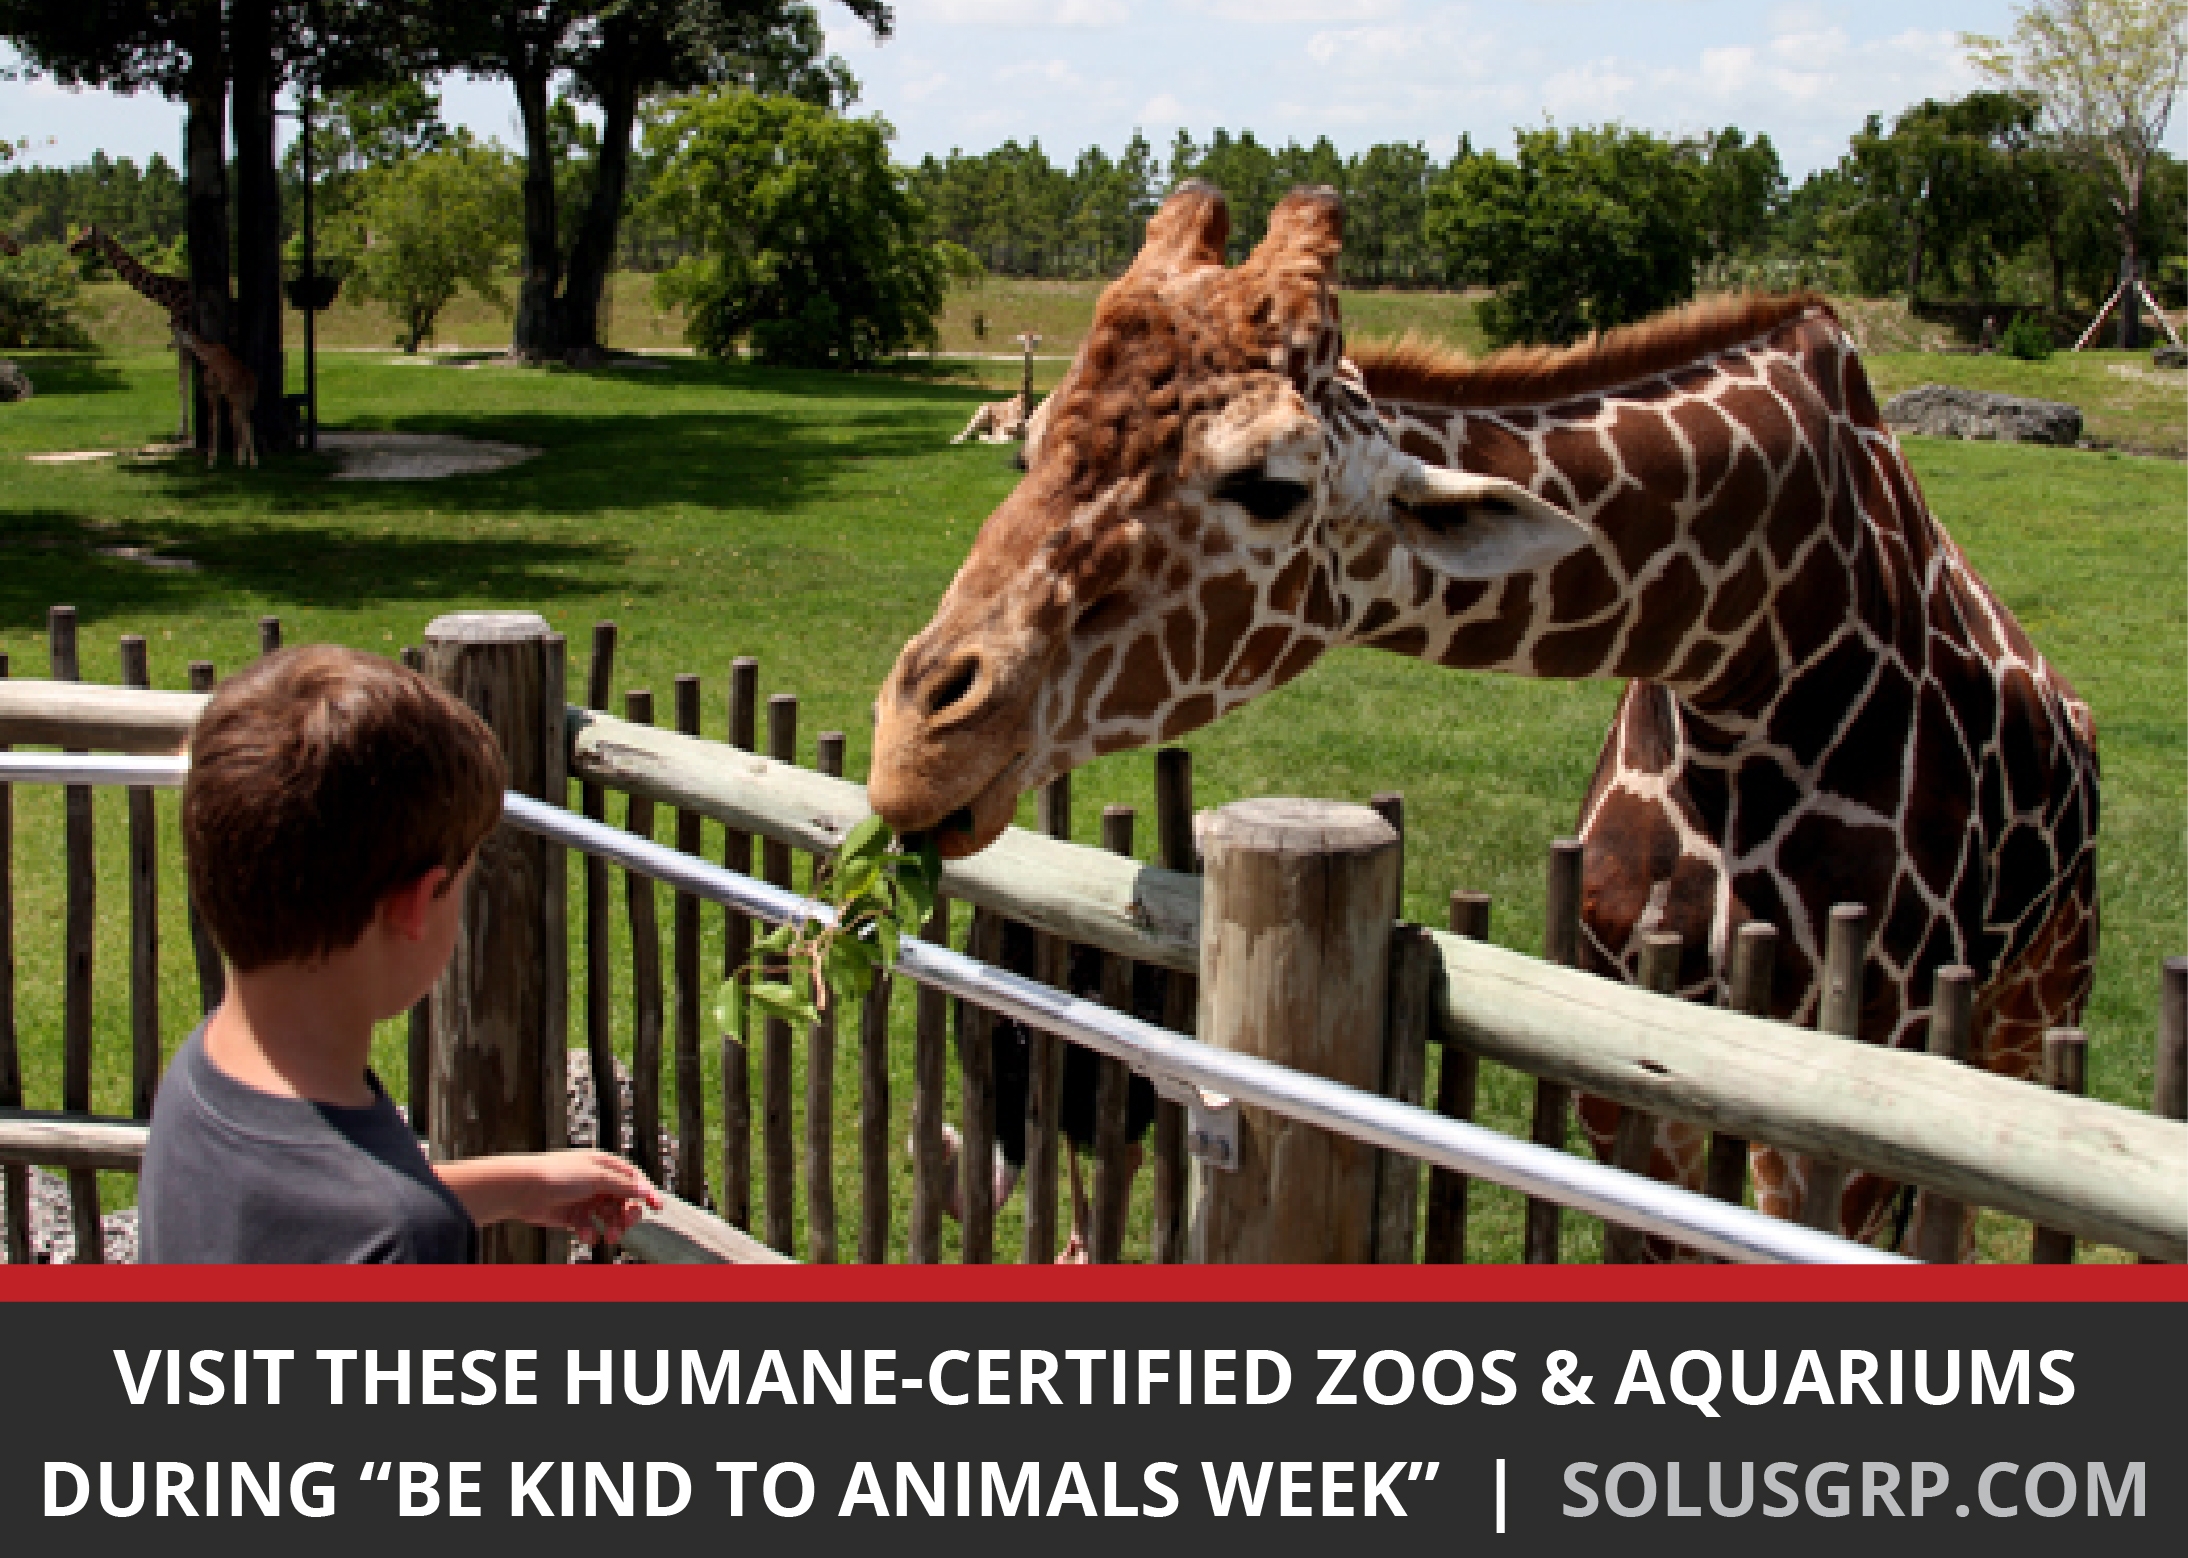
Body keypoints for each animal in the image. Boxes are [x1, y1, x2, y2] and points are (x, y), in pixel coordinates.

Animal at [68, 222, 194, 437]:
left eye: (85, 235)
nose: (70, 247)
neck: (169, 298)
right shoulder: (183, 343)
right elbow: (184, 384)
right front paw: (183, 430)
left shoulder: (184, 343)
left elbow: (183, 385)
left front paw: (181, 432)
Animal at [176, 328, 259, 468]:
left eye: (177, 335)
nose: (169, 345)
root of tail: (253, 384)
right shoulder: (219, 394)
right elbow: (216, 422)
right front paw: (213, 459)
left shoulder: (215, 392)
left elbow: (213, 423)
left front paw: (211, 461)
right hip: (245, 403)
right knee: (246, 423)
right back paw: (250, 461)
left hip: (238, 402)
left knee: (241, 424)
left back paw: (243, 461)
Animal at [857, 185, 2100, 1251]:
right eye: (1031, 446)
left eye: (1268, 485)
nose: (916, 746)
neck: (1752, 652)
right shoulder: (1627, 1062)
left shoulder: (1841, 1103)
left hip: (2033, 998)